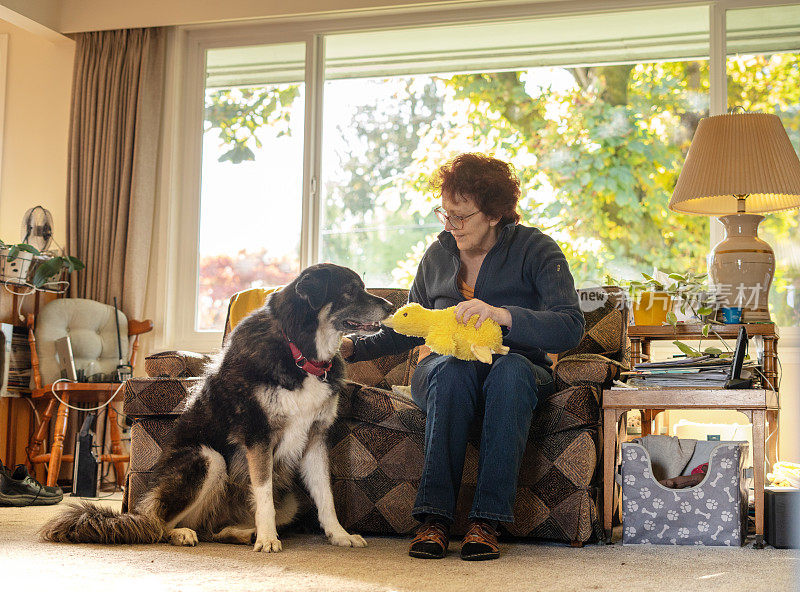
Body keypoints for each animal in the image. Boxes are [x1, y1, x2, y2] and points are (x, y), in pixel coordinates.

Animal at [43, 264, 394, 552]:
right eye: (350, 290)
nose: (392, 306)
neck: (299, 351)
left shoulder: (315, 438)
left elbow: (326, 496)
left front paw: (339, 535)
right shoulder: (257, 435)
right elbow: (263, 493)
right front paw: (269, 539)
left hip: (290, 501)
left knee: (212, 529)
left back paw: (241, 533)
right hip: (206, 457)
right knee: (155, 525)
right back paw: (184, 533)